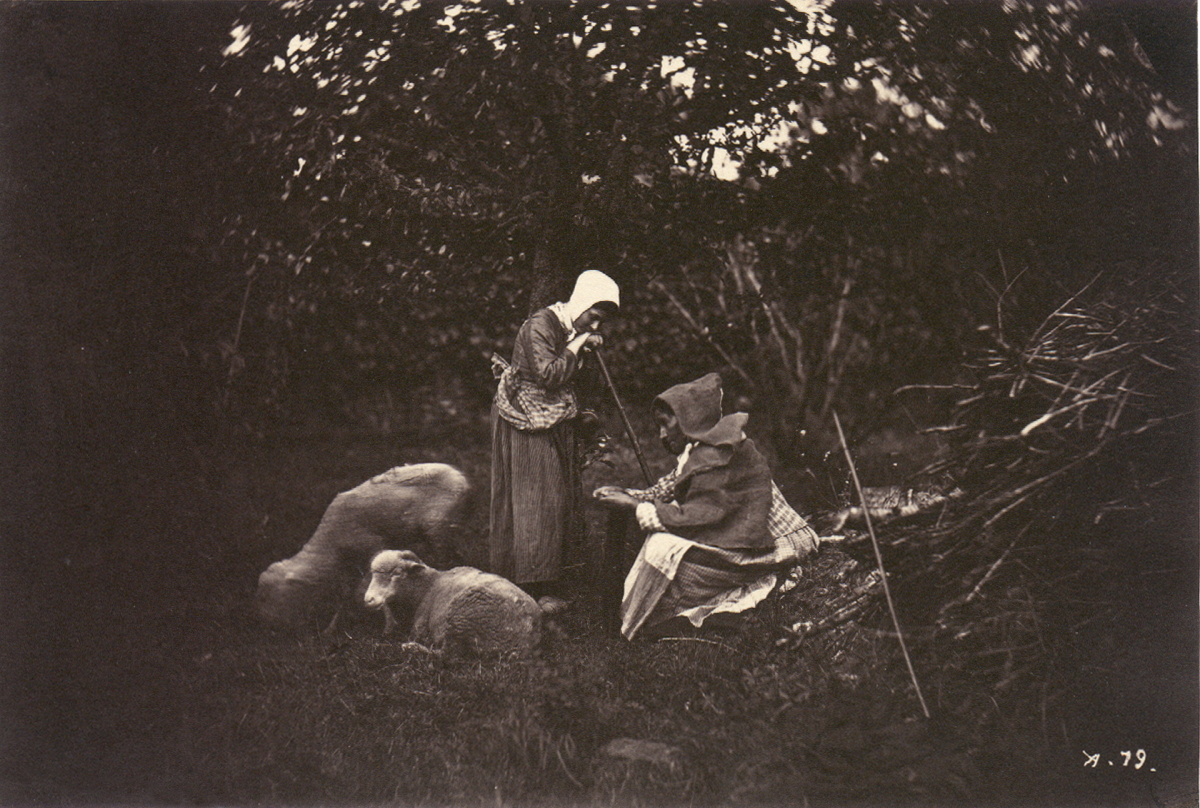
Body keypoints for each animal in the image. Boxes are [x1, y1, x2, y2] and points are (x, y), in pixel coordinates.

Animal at [256, 461, 468, 629]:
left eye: (271, 597)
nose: (266, 623)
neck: (331, 544)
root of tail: (463, 480)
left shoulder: (373, 550)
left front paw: (389, 625)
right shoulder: (352, 566)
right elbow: (346, 595)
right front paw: (331, 628)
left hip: (440, 533)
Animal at [360, 547, 540, 653]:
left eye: (396, 573)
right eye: (373, 574)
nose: (369, 599)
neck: (426, 587)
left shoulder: (420, 628)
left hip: (462, 619)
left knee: (446, 656)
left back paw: (413, 648)